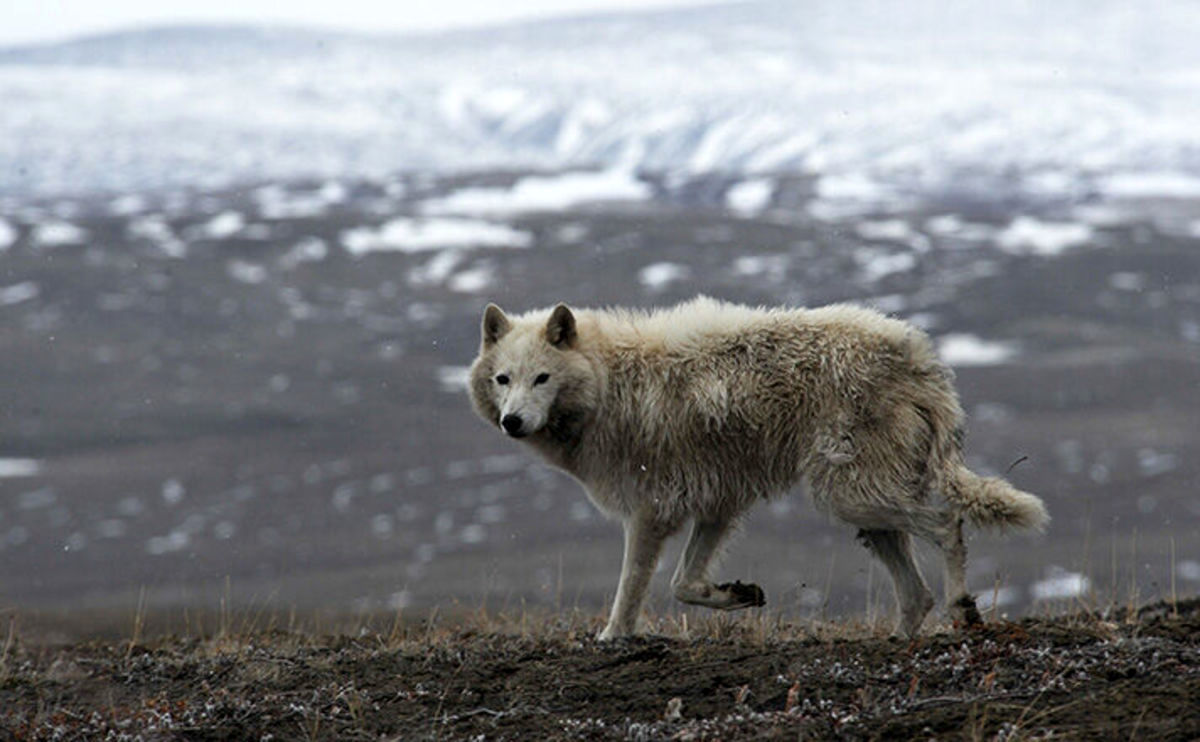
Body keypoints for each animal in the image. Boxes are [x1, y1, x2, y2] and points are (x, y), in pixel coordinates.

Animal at [463, 294, 1046, 633]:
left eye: (541, 378)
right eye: (503, 379)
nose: (512, 421)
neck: (609, 388)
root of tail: (918, 355)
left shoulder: (650, 514)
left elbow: (631, 591)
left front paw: (613, 640)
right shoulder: (716, 505)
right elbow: (684, 585)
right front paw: (736, 594)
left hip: (851, 497)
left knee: (947, 524)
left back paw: (962, 608)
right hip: (864, 511)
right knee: (914, 595)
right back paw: (897, 643)